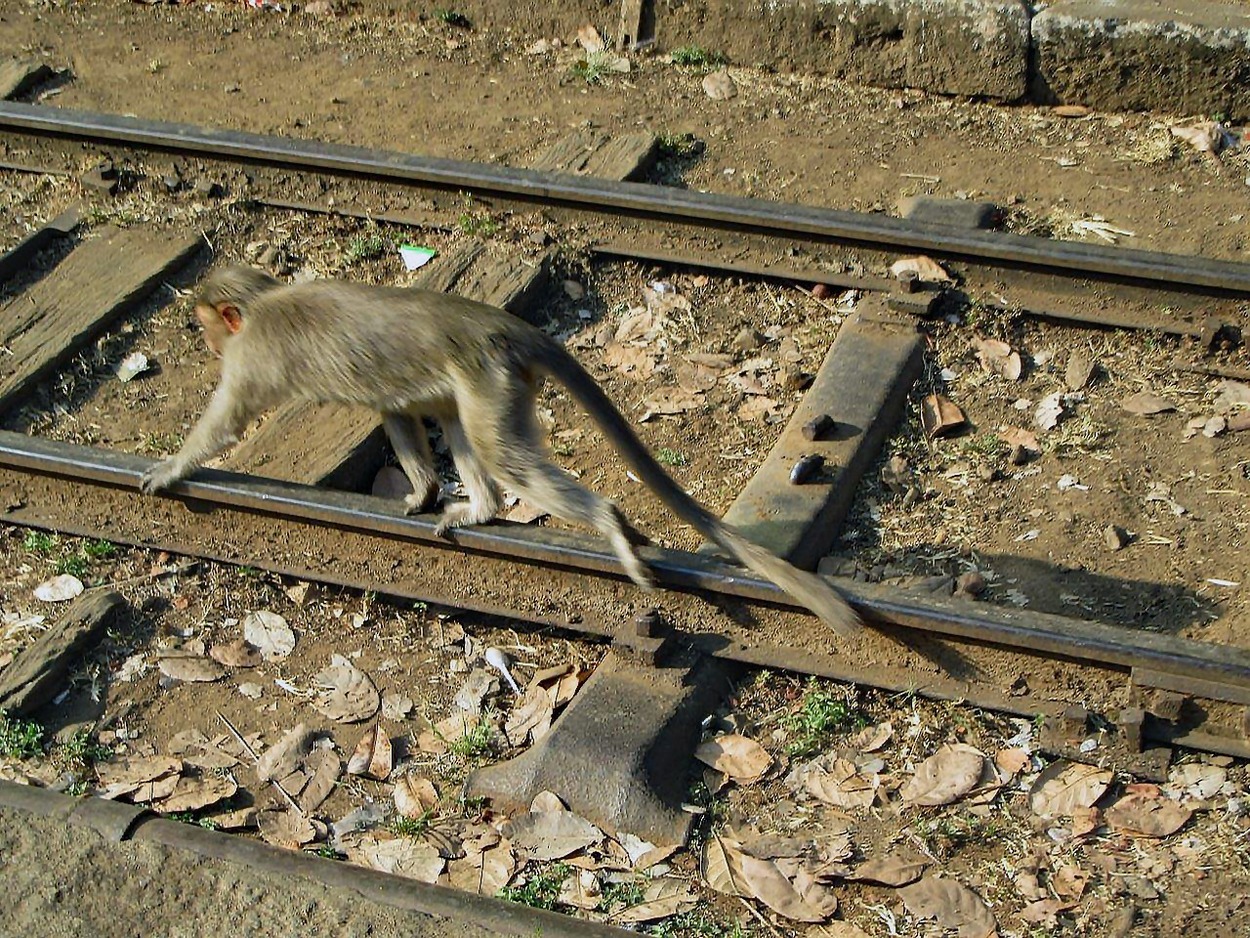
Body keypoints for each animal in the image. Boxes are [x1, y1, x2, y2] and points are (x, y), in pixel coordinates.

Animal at [136, 267, 860, 645]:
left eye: (206, 325)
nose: (203, 339)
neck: (262, 301)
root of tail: (503, 325)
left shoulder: (251, 354)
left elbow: (226, 419)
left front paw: (172, 467)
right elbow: (397, 415)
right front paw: (421, 493)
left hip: (493, 377)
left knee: (495, 448)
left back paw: (607, 524)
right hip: (492, 379)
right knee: (460, 425)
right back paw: (481, 509)